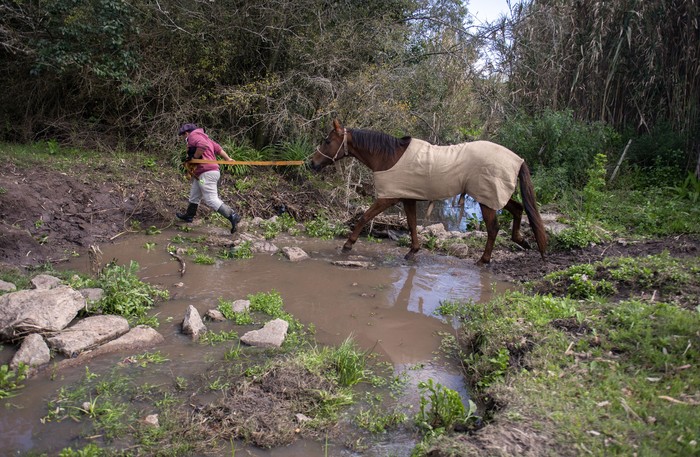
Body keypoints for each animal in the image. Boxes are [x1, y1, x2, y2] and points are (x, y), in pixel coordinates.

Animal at [310, 118, 548, 264]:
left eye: (327, 141)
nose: (312, 163)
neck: (389, 157)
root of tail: (517, 159)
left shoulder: (388, 198)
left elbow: (364, 217)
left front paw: (347, 245)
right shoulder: (408, 198)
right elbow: (412, 224)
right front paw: (413, 251)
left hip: (487, 199)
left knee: (493, 228)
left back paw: (484, 260)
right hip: (494, 196)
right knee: (518, 209)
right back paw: (521, 240)